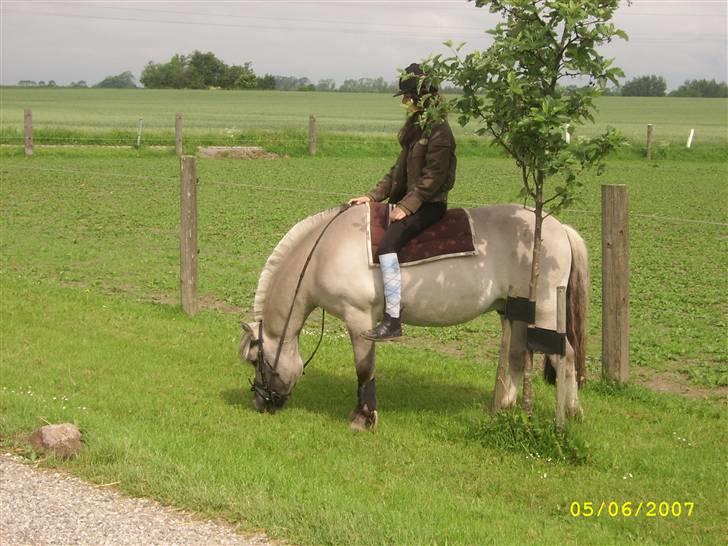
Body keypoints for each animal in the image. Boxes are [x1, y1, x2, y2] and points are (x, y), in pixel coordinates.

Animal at [242, 202, 588, 428]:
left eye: (255, 360)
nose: (259, 402)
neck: (324, 250)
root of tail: (556, 227)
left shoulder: (359, 318)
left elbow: (364, 369)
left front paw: (363, 418)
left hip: (544, 312)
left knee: (567, 356)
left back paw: (572, 413)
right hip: (514, 311)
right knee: (516, 357)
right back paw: (503, 410)